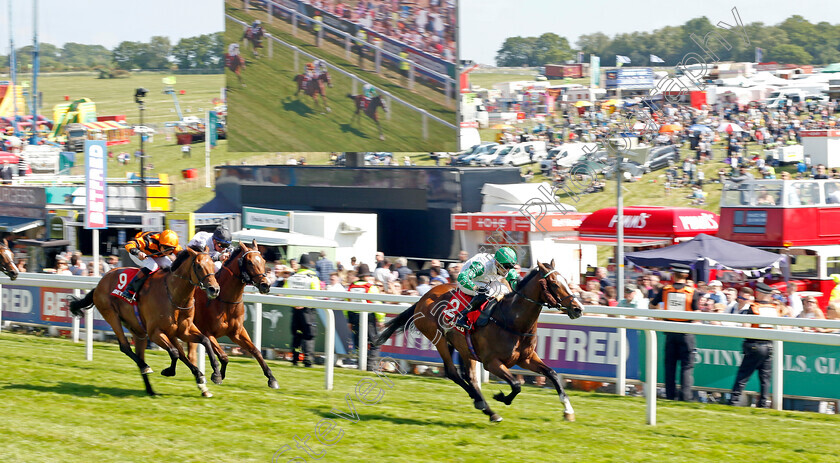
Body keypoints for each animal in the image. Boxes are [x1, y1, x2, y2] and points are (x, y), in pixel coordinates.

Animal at [69, 246, 221, 398]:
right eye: (199, 266)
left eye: (213, 265)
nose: (214, 289)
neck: (174, 295)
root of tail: (100, 282)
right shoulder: (154, 333)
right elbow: (174, 353)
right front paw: (169, 371)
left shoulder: (184, 330)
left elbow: (204, 341)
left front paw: (216, 374)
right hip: (111, 315)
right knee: (125, 346)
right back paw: (145, 367)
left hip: (140, 331)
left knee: (172, 353)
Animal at [187, 243, 272, 388]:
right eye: (249, 262)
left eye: (263, 260)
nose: (266, 285)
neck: (225, 300)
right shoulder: (207, 332)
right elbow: (223, 356)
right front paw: (217, 376)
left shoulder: (237, 332)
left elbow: (256, 351)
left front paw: (271, 378)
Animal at [374, 260, 584, 424]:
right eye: (554, 283)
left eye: (566, 281)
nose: (578, 308)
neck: (511, 320)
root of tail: (423, 297)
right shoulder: (492, 363)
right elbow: (516, 384)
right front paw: (502, 397)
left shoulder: (526, 358)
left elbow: (552, 374)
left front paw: (568, 411)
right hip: (439, 339)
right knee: (453, 372)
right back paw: (485, 406)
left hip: (462, 346)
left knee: (469, 377)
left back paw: (484, 406)